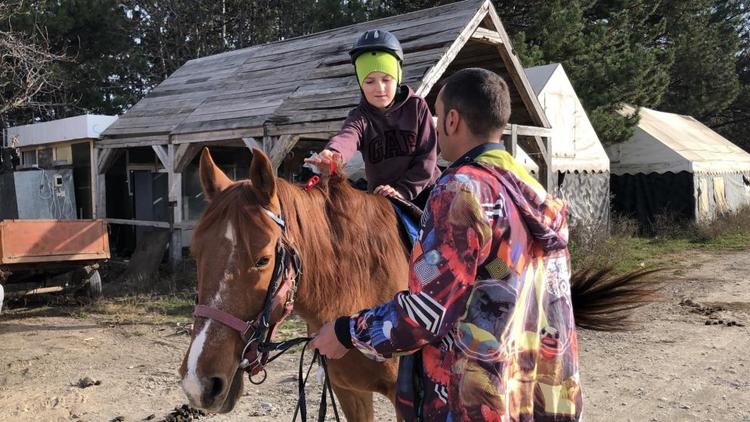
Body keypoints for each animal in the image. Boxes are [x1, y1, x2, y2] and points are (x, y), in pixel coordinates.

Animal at [178, 148, 656, 418]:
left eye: (262, 259)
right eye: (195, 255)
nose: (200, 384)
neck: (357, 291)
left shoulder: (408, 398)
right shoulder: (350, 393)